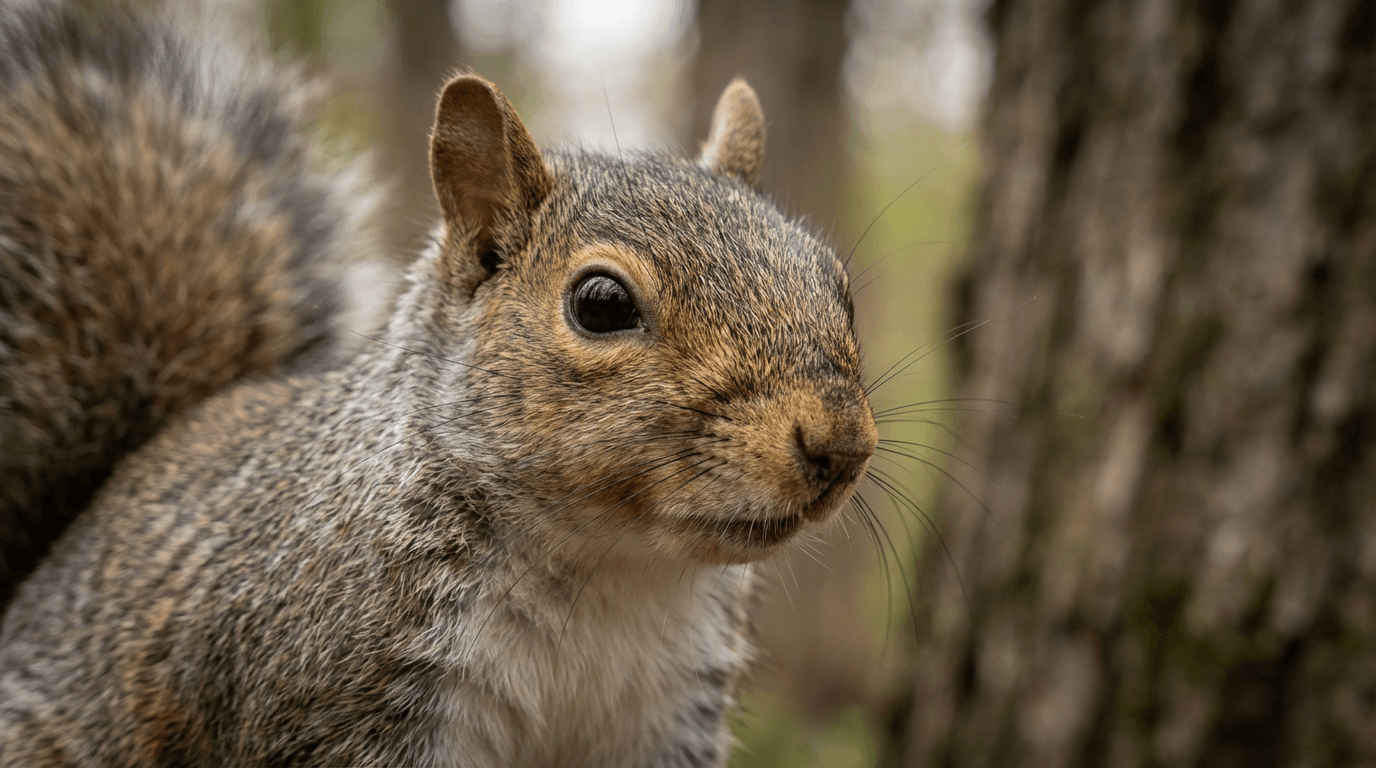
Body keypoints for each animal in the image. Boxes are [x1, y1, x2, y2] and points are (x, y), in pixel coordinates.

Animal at [0, 2, 878, 767]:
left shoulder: (672, 718)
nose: (841, 446)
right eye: (600, 304)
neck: (605, 570)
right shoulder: (344, 706)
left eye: (839, 286)